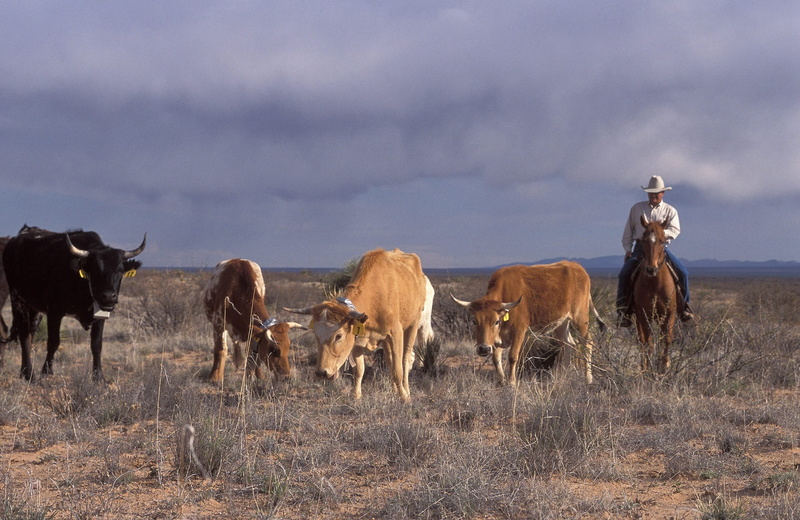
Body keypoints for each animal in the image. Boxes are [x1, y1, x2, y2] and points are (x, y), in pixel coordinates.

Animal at [3, 225, 146, 381]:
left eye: (120, 270)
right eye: (94, 269)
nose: (109, 296)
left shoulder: (100, 315)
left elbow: (97, 345)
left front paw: (98, 376)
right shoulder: (54, 312)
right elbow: (53, 342)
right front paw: (46, 372)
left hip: (34, 308)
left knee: (30, 334)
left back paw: (24, 372)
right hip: (18, 300)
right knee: (24, 335)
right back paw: (29, 373)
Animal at [286, 248, 427, 402]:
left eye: (338, 336)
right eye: (316, 335)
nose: (322, 373)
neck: (376, 297)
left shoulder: (396, 333)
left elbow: (398, 370)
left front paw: (404, 397)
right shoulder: (358, 340)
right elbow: (359, 371)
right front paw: (356, 396)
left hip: (414, 323)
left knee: (406, 359)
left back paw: (406, 390)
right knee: (390, 360)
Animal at [451, 261, 606, 386]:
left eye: (496, 321)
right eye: (474, 321)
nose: (483, 349)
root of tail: (578, 268)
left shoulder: (519, 330)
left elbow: (513, 356)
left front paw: (512, 382)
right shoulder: (497, 339)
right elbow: (496, 358)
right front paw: (501, 381)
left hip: (581, 318)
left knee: (587, 342)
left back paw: (588, 378)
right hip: (561, 323)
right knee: (569, 344)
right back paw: (562, 376)